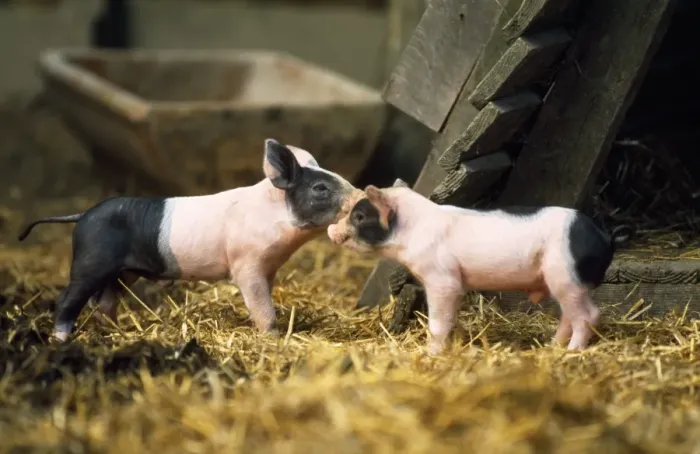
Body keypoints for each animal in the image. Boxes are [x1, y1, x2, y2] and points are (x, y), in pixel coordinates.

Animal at [18, 138, 360, 342]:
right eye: (319, 188)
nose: (360, 196)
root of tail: (82, 215)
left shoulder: (269, 267)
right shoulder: (246, 264)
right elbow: (261, 305)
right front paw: (273, 337)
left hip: (122, 272)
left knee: (104, 300)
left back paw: (117, 331)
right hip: (91, 262)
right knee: (67, 298)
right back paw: (62, 340)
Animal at [327, 180, 633, 355]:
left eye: (359, 216)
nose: (331, 230)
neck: (411, 231)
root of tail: (604, 237)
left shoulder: (442, 280)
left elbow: (438, 321)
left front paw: (431, 353)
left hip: (568, 276)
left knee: (589, 315)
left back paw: (570, 353)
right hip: (563, 282)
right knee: (570, 315)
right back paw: (551, 346)